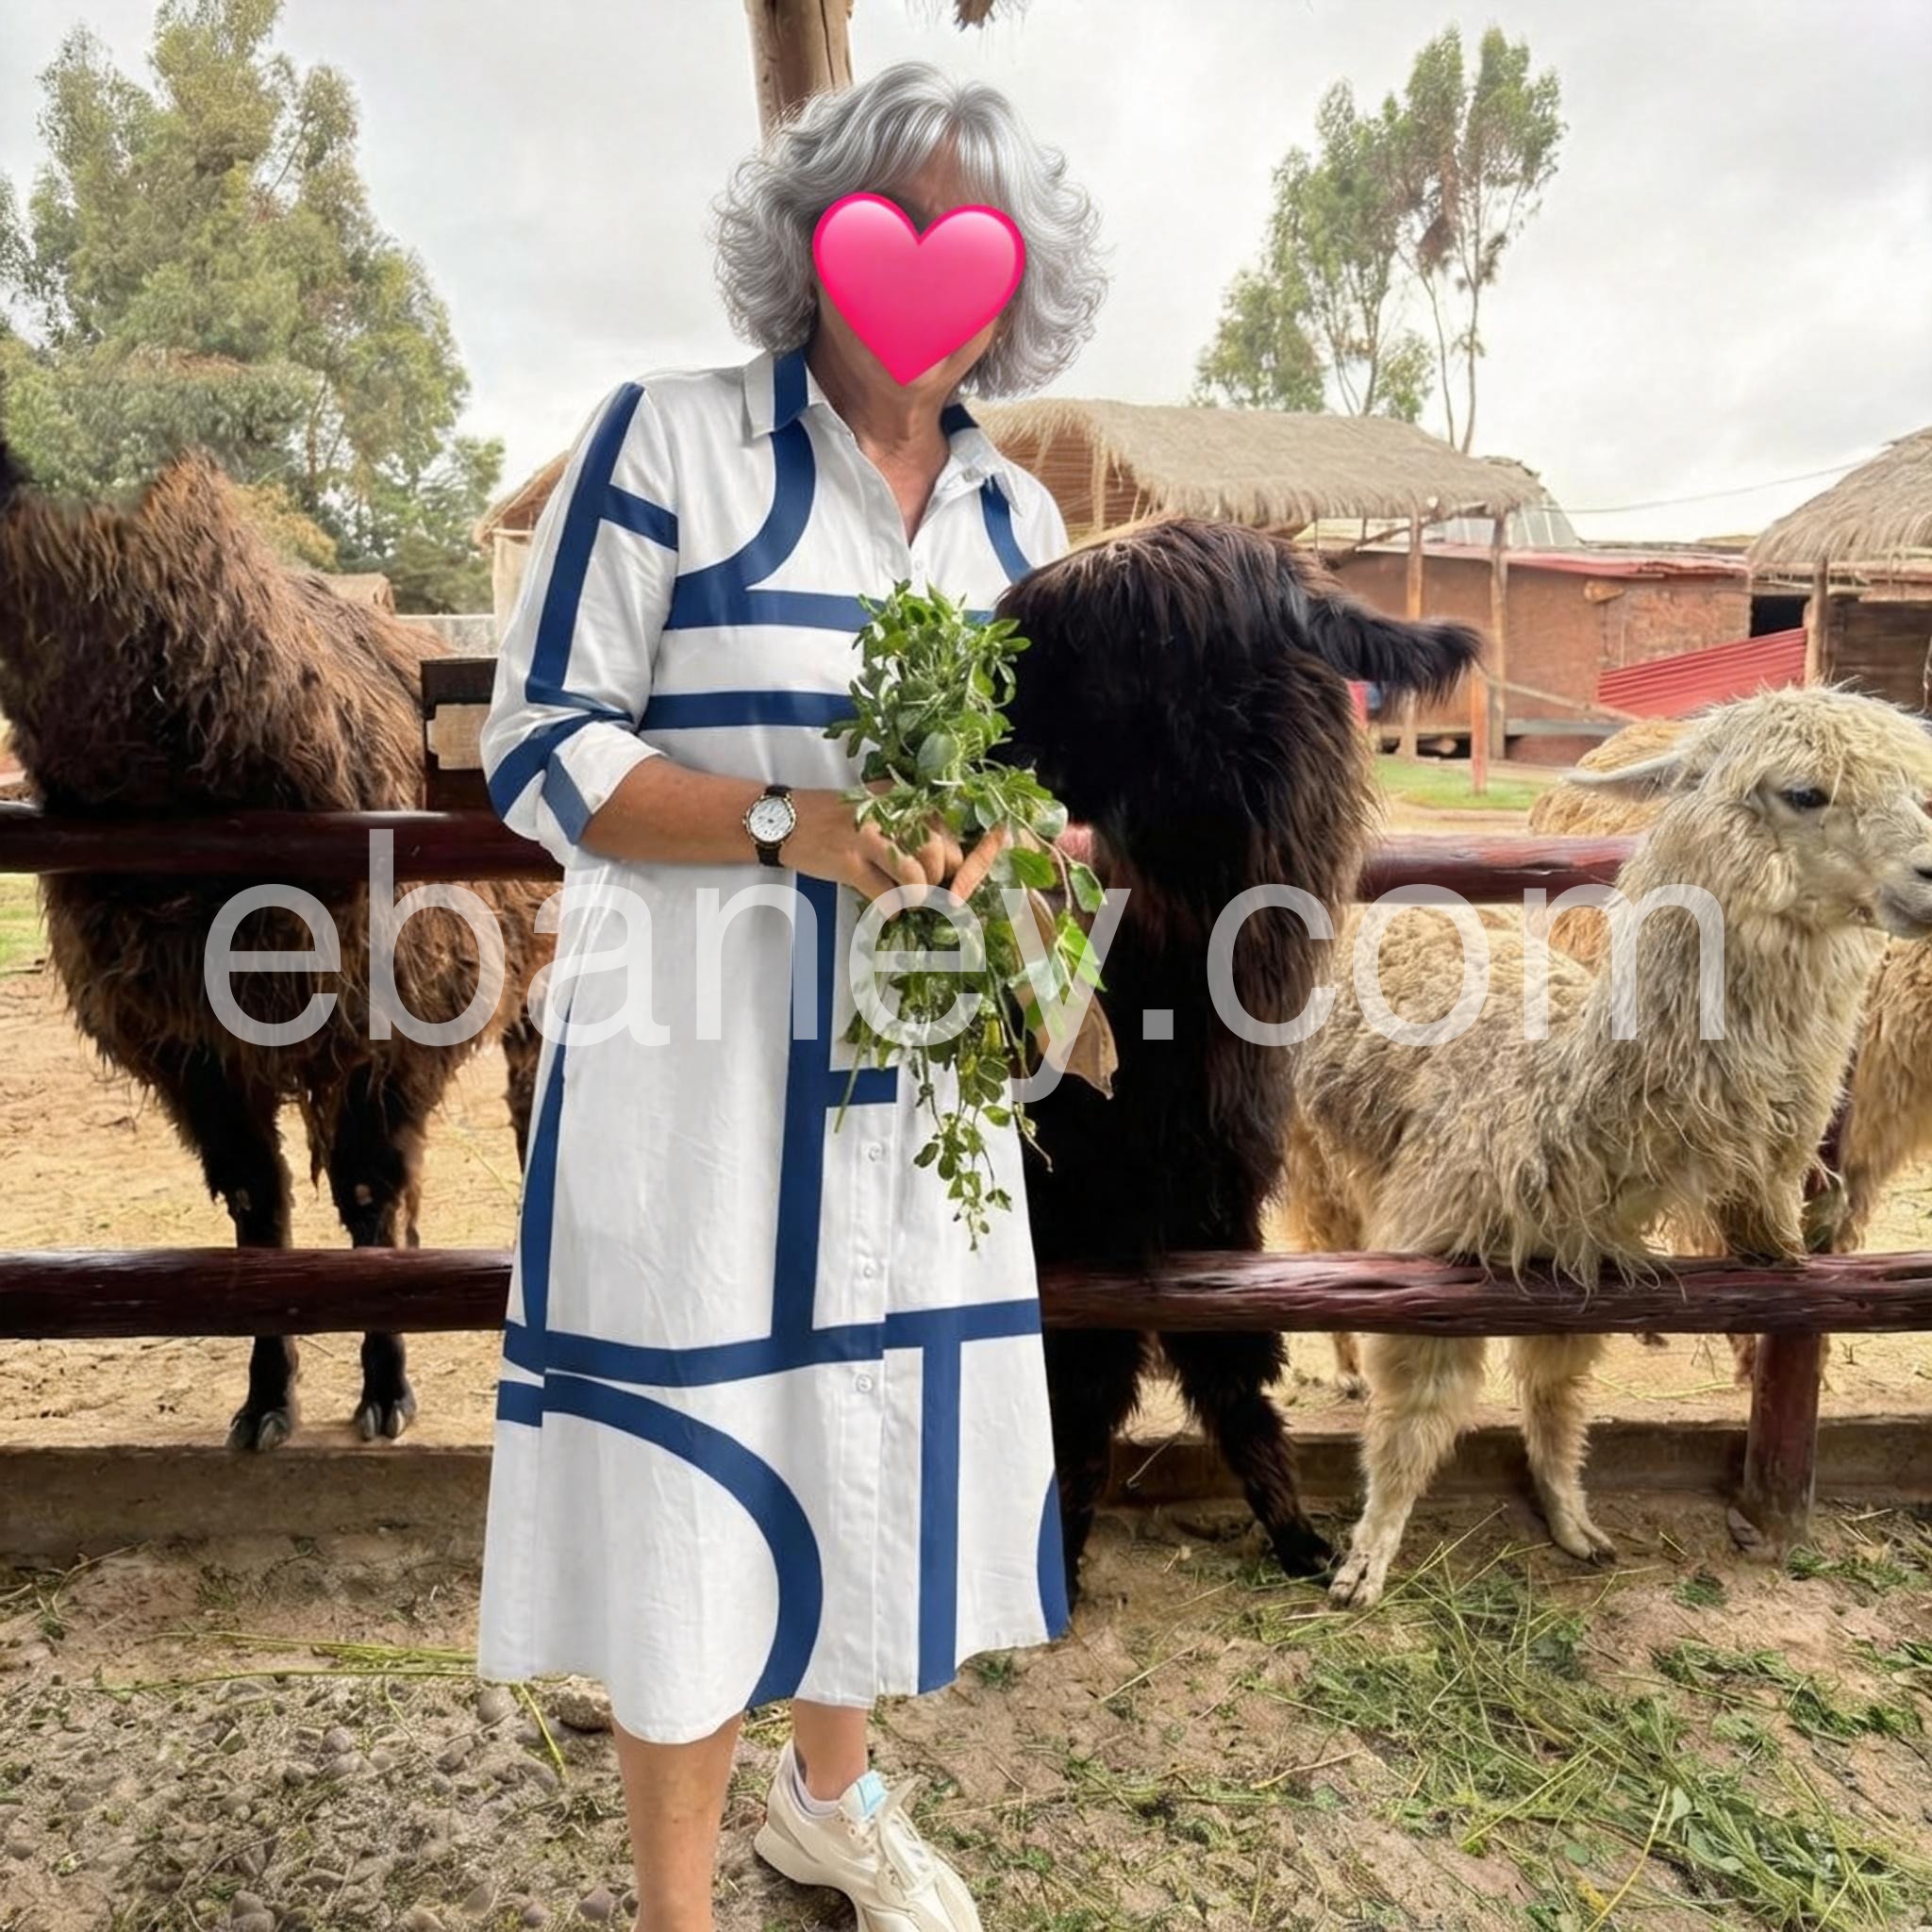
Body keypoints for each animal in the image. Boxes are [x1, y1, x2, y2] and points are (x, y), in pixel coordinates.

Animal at [0, 443, 552, 1450]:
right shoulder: (197, 1049)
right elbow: (260, 1217)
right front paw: (266, 1403)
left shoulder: (385, 1026)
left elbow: (366, 1200)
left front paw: (385, 1391)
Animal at [992, 515, 1484, 1600]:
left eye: (1137, 632)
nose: (986, 690)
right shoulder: (1083, 1208)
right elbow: (1083, 1386)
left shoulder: (1197, 1204)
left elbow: (1210, 1370)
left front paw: (1303, 1541)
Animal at [1280, 685, 1932, 1608]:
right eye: (1805, 792)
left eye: (1919, 791)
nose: (1930, 876)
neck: (1551, 1097)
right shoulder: (1436, 1255)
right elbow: (1413, 1421)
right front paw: (1366, 1561)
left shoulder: (1580, 1266)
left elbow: (1555, 1398)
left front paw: (1571, 1520)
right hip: (1315, 1144)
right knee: (1324, 1240)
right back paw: (1341, 1365)